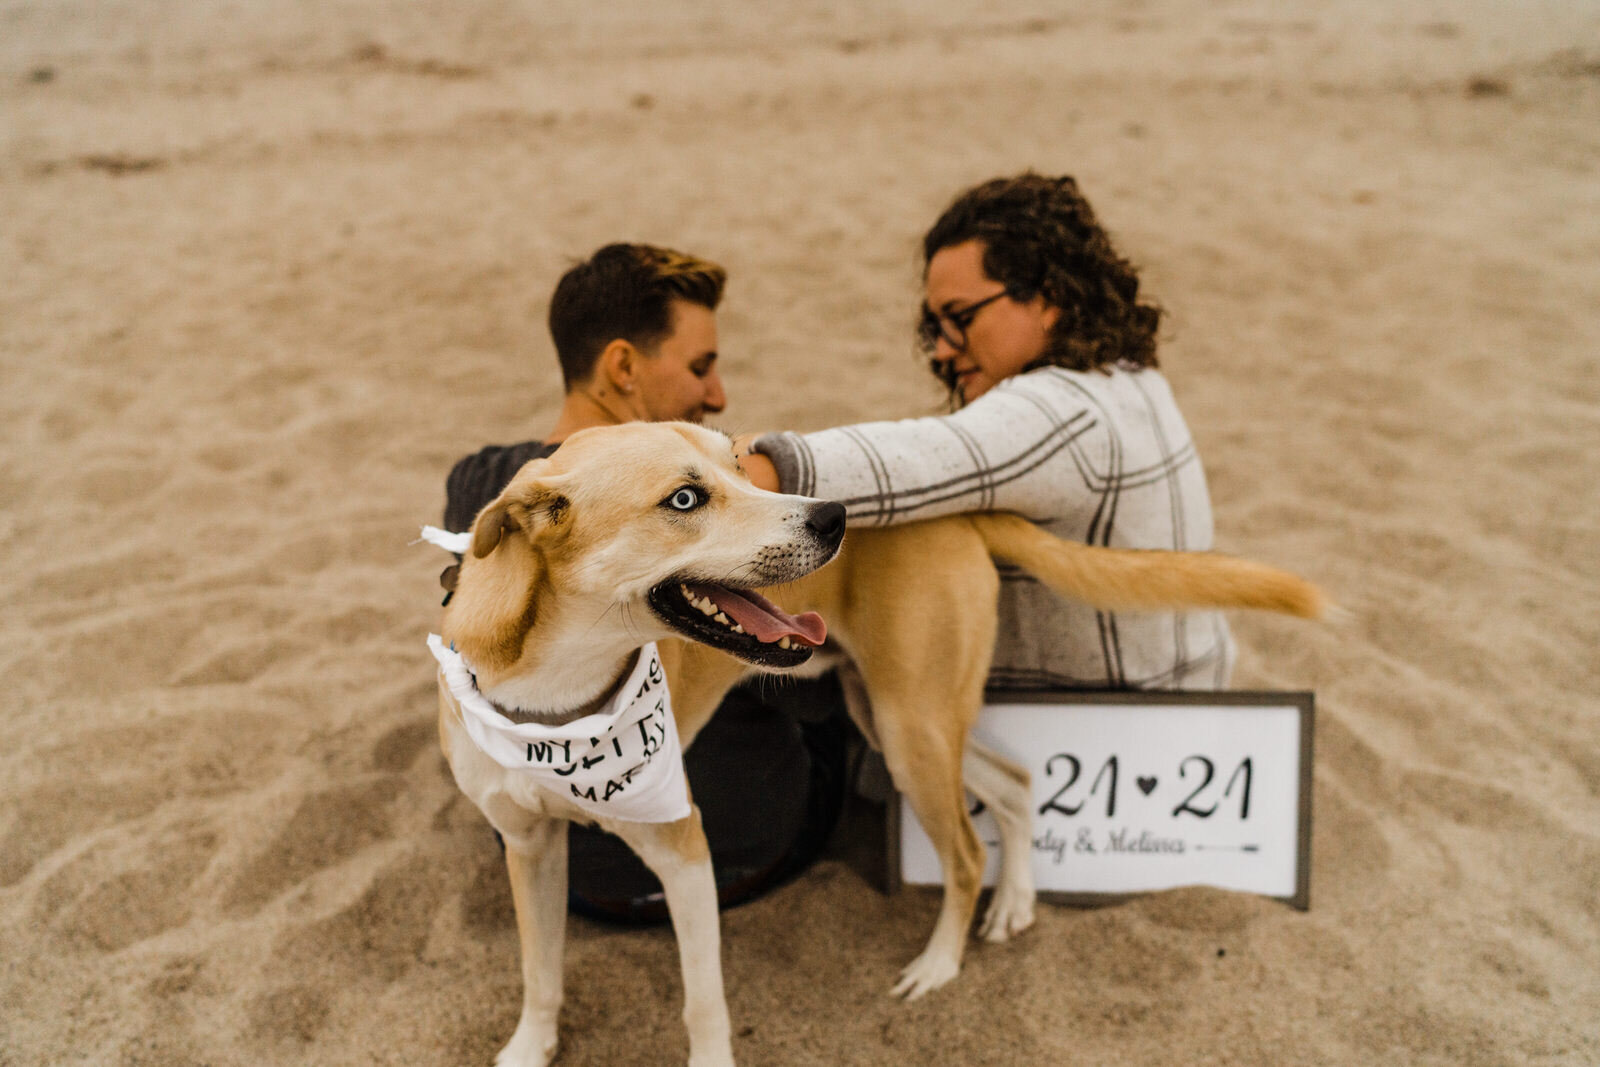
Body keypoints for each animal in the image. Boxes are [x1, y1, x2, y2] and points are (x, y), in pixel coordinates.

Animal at [428, 422, 1324, 1062]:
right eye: (684, 498)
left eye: (736, 461)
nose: (833, 516)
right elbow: (540, 970)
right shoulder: (529, 845)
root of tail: (960, 509)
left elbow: (702, 998)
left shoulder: (683, 848)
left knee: (965, 849)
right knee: (1016, 779)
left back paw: (940, 965)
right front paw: (528, 1049)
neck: (557, 702)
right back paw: (1016, 903)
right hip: (897, 717)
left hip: (909, 724)